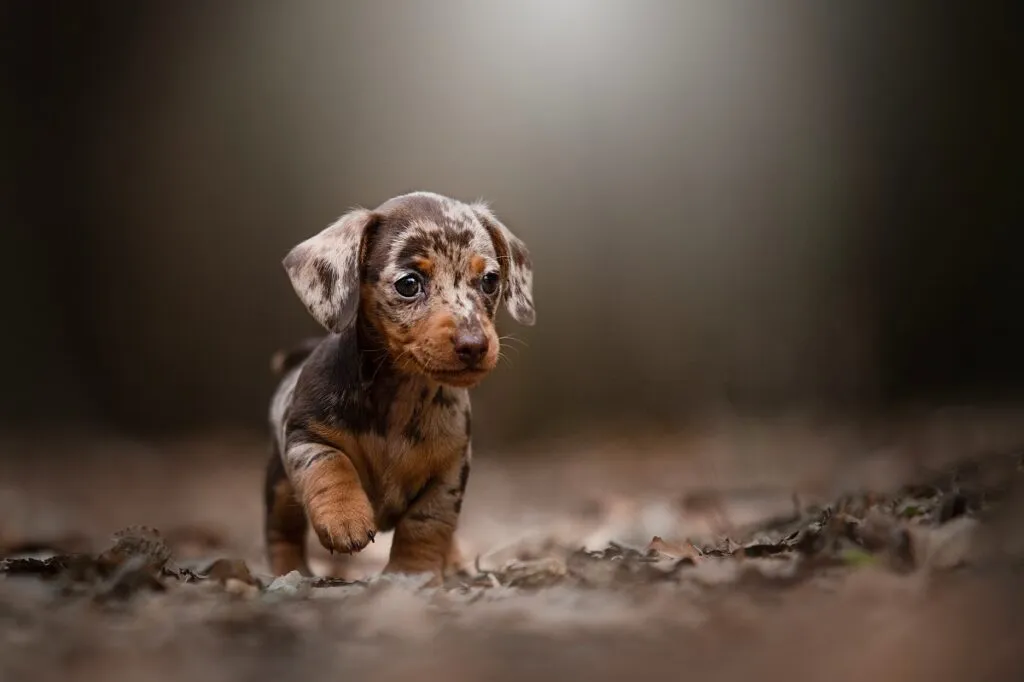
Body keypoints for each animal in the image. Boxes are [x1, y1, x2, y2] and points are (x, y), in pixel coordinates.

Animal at [264, 188, 536, 581]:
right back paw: (291, 570)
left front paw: (411, 575)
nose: (474, 345)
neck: (402, 396)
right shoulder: (305, 436)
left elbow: (425, 527)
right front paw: (344, 518)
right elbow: (331, 465)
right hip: (280, 489)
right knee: (281, 534)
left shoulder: (448, 475)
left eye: (489, 280)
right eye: (409, 284)